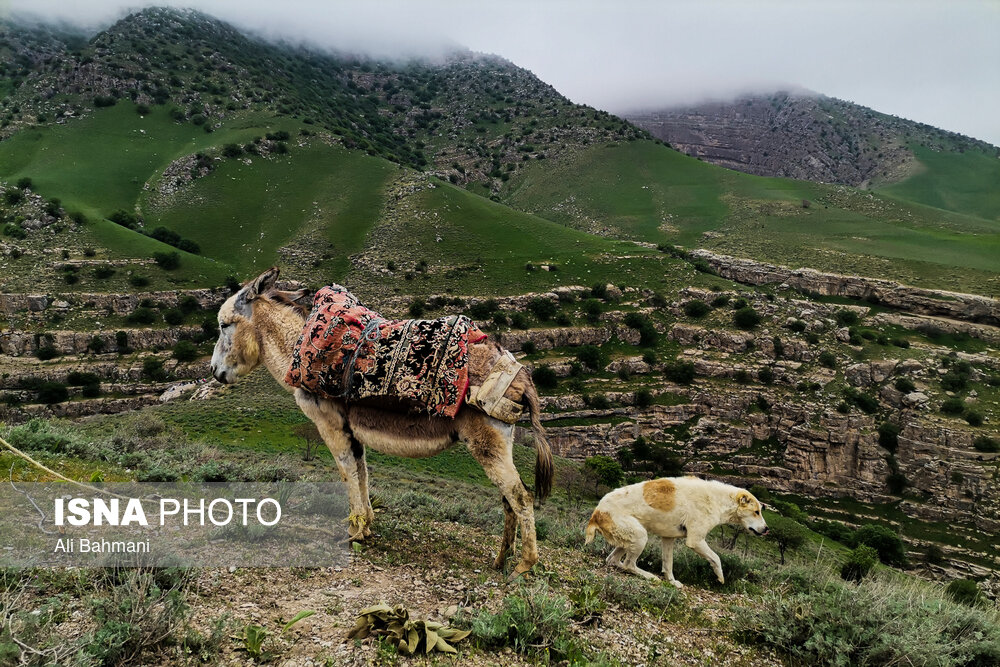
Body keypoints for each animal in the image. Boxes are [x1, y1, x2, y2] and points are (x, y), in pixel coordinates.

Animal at [584, 478, 768, 588]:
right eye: (756, 512)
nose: (767, 529)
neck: (718, 500)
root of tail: (596, 513)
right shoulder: (696, 540)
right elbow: (716, 558)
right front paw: (720, 577)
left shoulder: (668, 538)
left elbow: (668, 564)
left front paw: (672, 582)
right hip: (640, 535)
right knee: (629, 564)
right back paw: (649, 576)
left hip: (629, 539)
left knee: (613, 560)